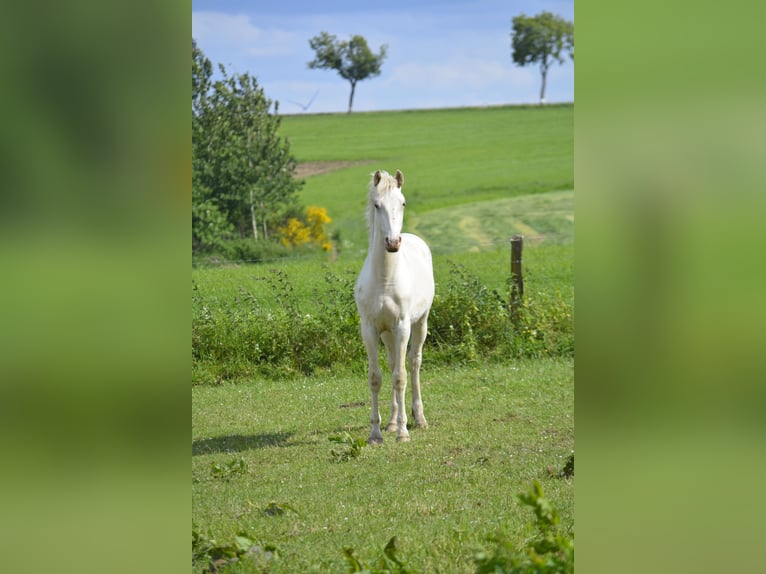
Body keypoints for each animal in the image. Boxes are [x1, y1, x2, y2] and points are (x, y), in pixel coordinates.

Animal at [356, 170, 436, 446]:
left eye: (403, 203)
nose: (392, 242)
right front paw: (376, 434)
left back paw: (418, 418)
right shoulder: (370, 329)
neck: (384, 281)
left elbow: (400, 377)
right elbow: (376, 378)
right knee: (392, 364)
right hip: (387, 334)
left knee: (412, 363)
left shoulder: (402, 327)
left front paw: (403, 432)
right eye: (376, 205)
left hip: (419, 324)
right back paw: (391, 422)